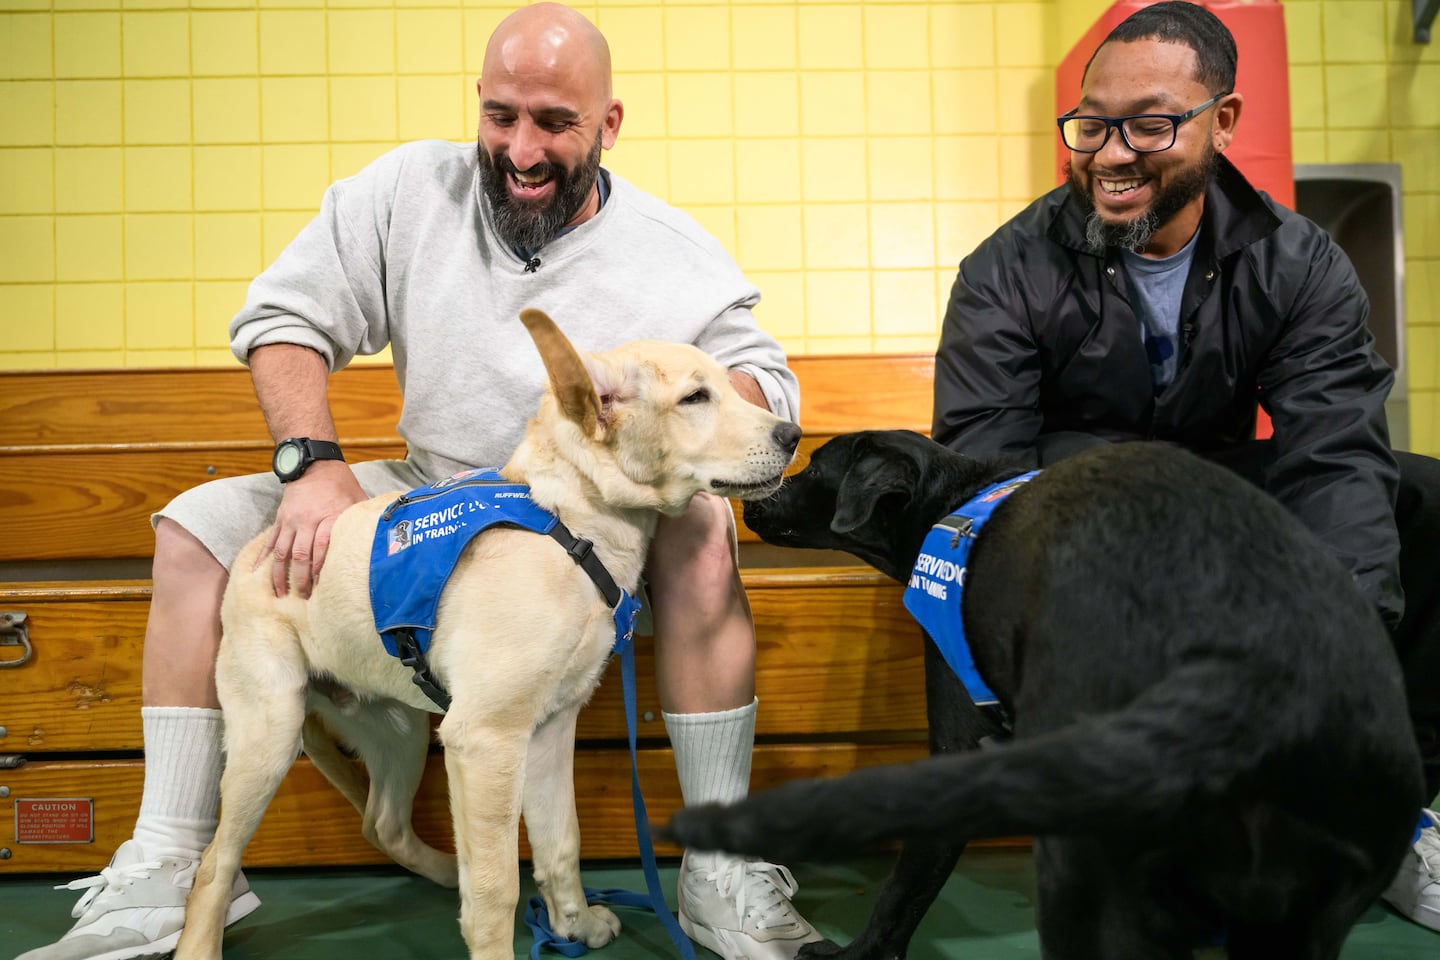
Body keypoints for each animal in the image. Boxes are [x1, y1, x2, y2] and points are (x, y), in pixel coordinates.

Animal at [665, 431, 1428, 955]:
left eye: (813, 468)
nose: (752, 499)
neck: (948, 502)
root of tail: (1253, 680)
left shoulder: (954, 753)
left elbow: (901, 899)